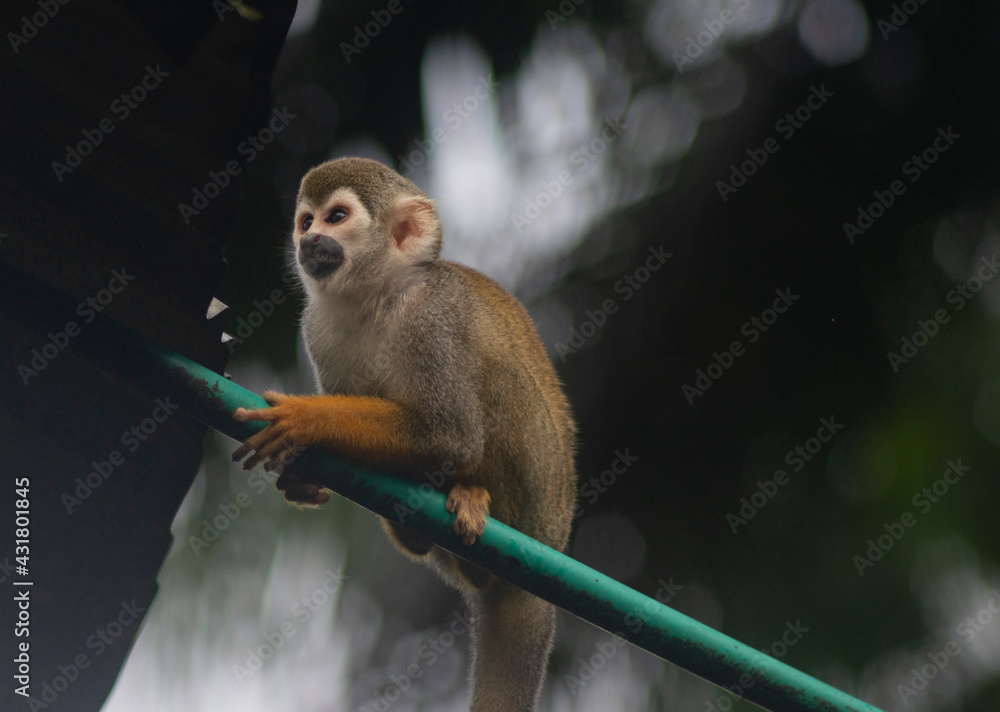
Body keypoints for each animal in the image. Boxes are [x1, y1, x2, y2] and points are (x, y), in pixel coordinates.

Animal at [230, 157, 577, 712]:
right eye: (306, 221)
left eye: (337, 217)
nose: (309, 240)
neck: (376, 297)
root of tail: (554, 541)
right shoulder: (317, 330)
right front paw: (302, 477)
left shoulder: (431, 319)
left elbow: (449, 435)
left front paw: (306, 418)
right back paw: (415, 536)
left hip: (538, 496)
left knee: (497, 376)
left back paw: (474, 501)